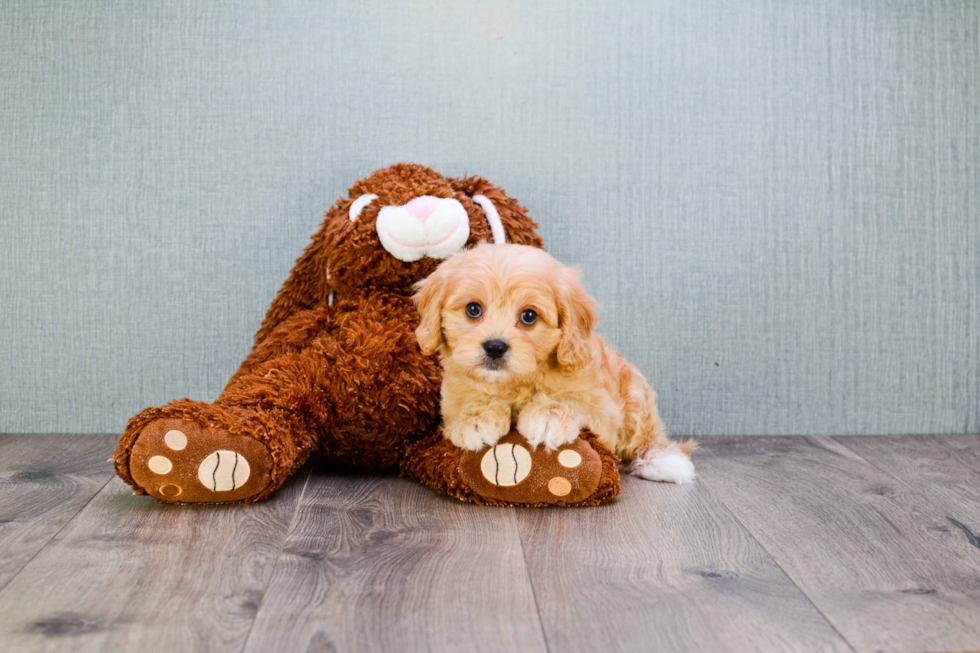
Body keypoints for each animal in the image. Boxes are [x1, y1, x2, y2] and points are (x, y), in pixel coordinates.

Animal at [414, 242, 696, 482]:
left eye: (529, 316)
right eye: (473, 309)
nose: (495, 347)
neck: (516, 383)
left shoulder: (603, 408)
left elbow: (576, 401)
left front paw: (548, 416)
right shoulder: (451, 399)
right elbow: (468, 403)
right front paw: (476, 418)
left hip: (635, 395)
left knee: (645, 436)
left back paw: (664, 462)